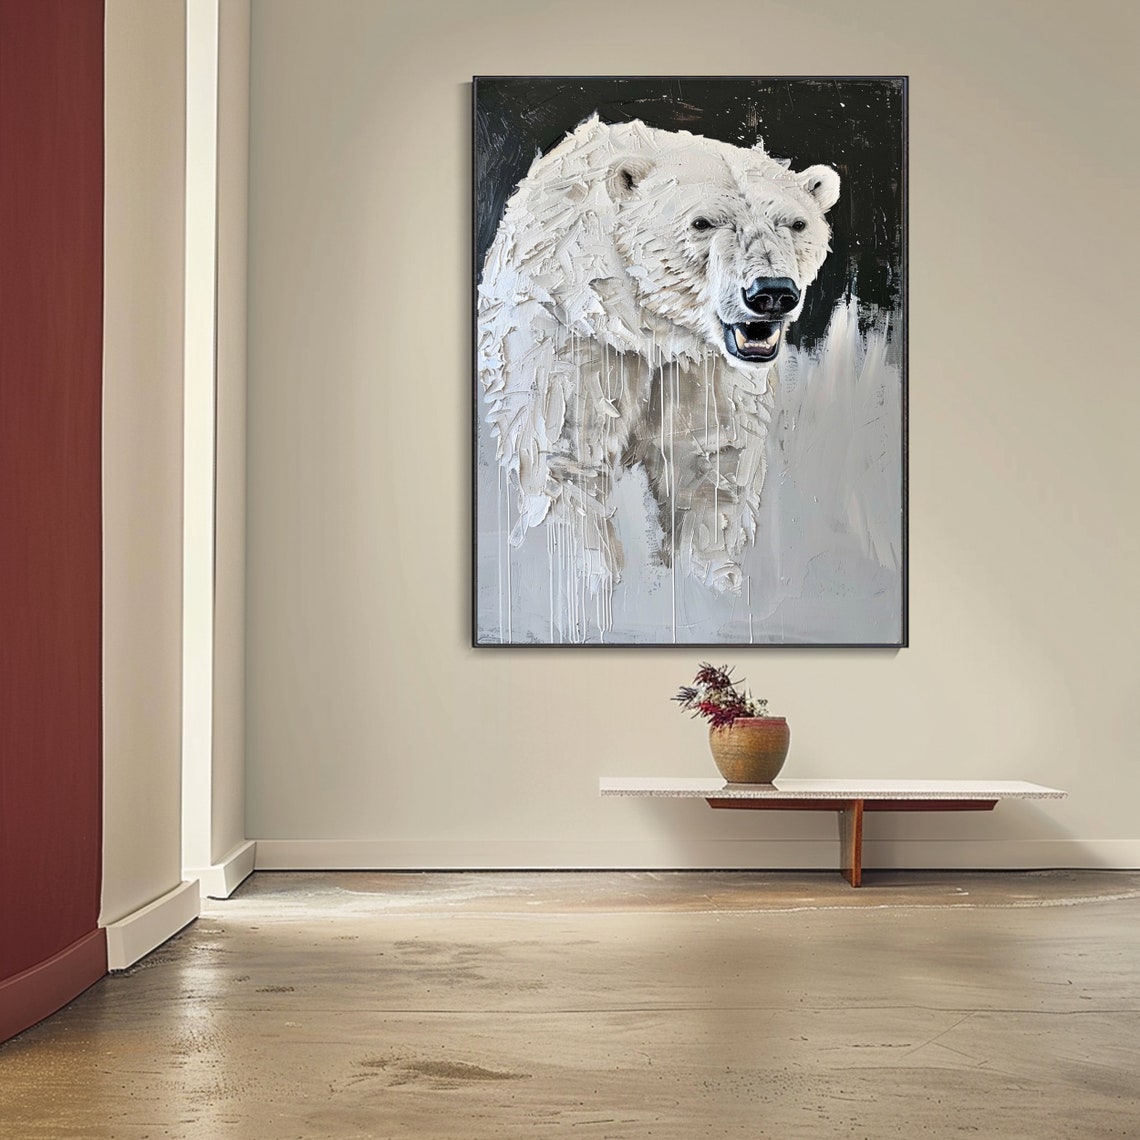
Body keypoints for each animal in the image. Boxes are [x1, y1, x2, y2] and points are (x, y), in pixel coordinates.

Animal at [477, 115, 839, 598]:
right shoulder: (575, 342)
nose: (772, 293)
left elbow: (710, 467)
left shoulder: (705, 369)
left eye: (796, 223)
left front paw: (707, 583)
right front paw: (593, 580)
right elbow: (564, 460)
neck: (650, 327)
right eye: (703, 222)